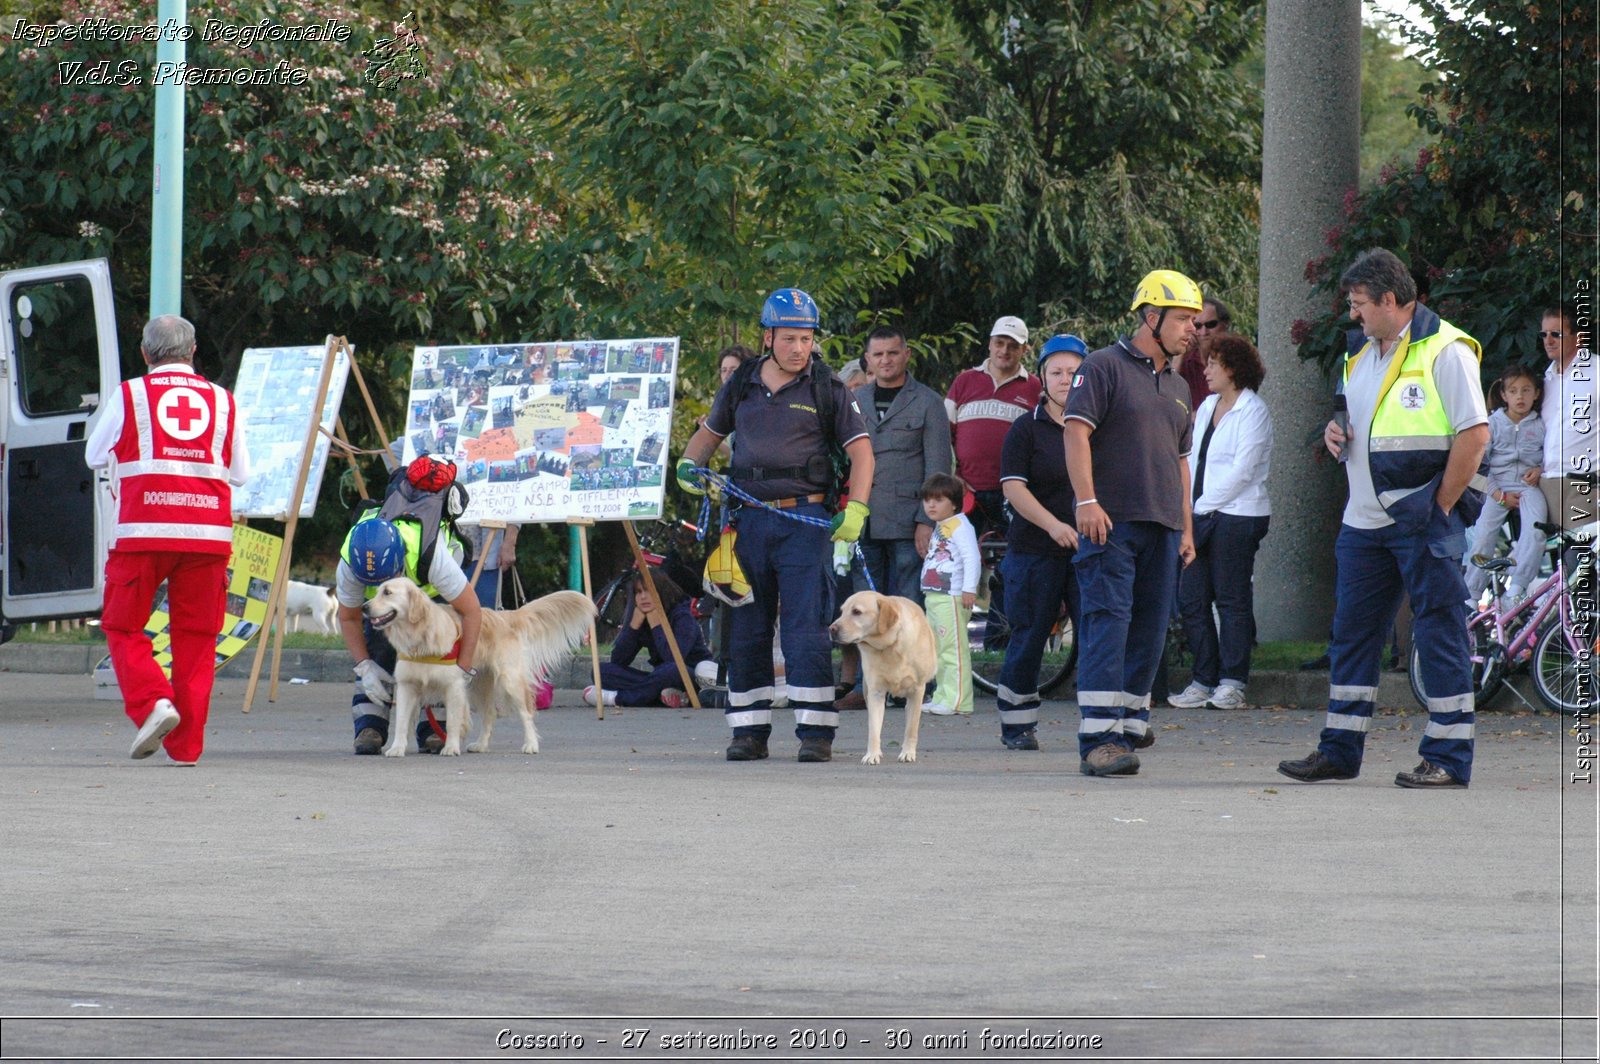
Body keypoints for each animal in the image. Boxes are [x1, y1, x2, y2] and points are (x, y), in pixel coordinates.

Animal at [366, 582, 598, 755]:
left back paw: (531, 744)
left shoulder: (453, 686)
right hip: (478, 686)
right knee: (489, 715)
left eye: (387, 592)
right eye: (377, 591)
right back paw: (481, 745)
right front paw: (397, 748)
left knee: (526, 713)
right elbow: (402, 721)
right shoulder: (407, 686)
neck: (419, 638)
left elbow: (452, 721)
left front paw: (451, 747)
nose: (365, 607)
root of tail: (505, 616)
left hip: (509, 681)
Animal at [832, 588, 940, 764]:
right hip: (866, 690)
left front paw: (908, 753)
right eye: (841, 611)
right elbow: (874, 729)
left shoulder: (917, 691)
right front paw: (872, 754)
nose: (831, 629)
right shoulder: (875, 692)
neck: (890, 646)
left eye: (856, 612)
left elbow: (911, 728)